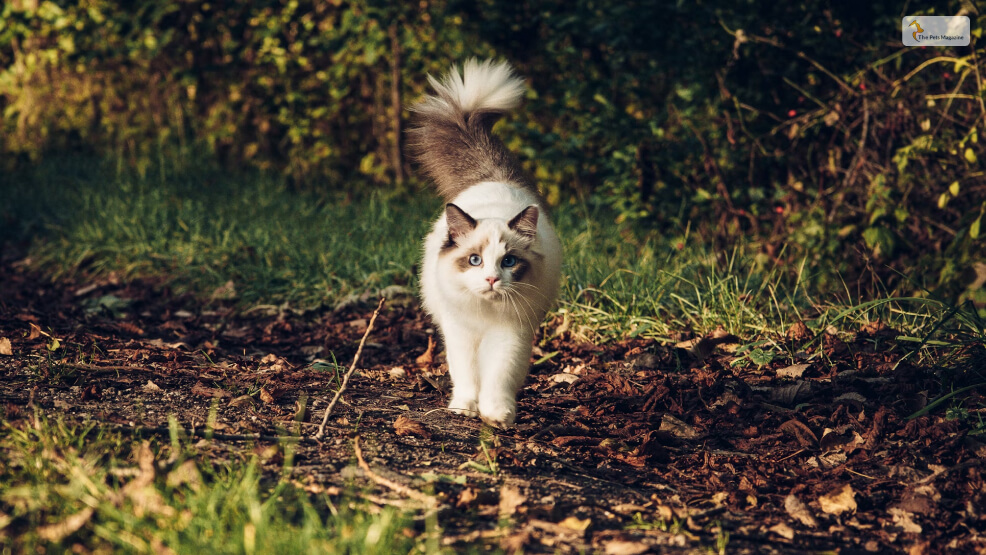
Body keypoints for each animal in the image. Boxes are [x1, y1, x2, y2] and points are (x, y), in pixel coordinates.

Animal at [408, 58, 560, 430]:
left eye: (509, 262)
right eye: (475, 260)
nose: (491, 279)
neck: (486, 314)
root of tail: (495, 178)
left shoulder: (510, 334)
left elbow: (497, 378)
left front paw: (496, 415)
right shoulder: (461, 333)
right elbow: (466, 376)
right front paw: (464, 408)